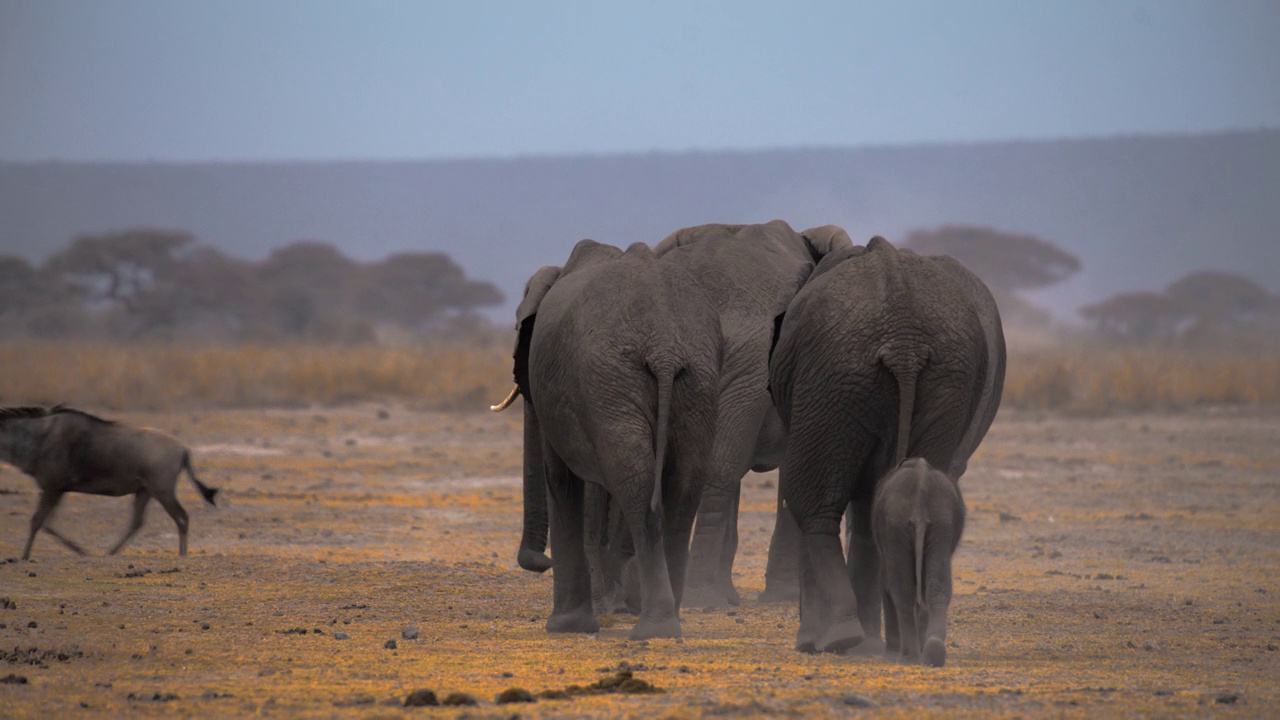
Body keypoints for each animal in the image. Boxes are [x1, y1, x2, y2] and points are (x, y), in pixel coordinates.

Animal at [0, 404, 218, 556]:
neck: (38, 438)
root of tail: (183, 450)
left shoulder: (52, 487)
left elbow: (37, 521)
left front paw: (25, 556)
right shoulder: (57, 489)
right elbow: (46, 523)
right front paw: (81, 551)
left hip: (163, 492)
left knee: (182, 518)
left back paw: (182, 555)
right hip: (145, 491)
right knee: (137, 523)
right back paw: (111, 553)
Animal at [496, 238, 727, 635]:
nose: (540, 562)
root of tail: (664, 347)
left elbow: (559, 478)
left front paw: (566, 627)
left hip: (612, 383)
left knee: (637, 487)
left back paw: (653, 628)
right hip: (695, 381)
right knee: (683, 489)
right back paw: (669, 621)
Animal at [870, 456, 962, 666]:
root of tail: (921, 493)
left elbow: (886, 584)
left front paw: (890, 655)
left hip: (895, 526)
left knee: (901, 590)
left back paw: (907, 657)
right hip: (941, 523)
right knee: (937, 586)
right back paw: (932, 654)